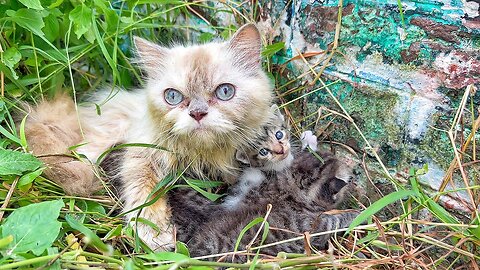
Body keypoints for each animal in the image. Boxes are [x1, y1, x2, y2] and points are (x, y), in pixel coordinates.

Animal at [22, 24, 274, 250]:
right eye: (173, 96)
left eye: (225, 91)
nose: (197, 113)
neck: (202, 155)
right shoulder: (141, 152)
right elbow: (143, 192)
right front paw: (154, 232)